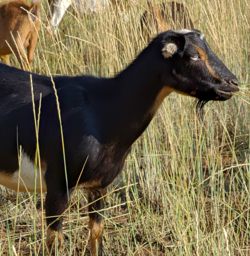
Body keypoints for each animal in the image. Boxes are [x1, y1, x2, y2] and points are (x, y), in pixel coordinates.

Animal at [0, 29, 239, 254]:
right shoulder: (58, 184)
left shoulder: (99, 185)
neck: (102, 109)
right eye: (193, 55)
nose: (233, 83)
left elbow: (96, 234)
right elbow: (54, 244)